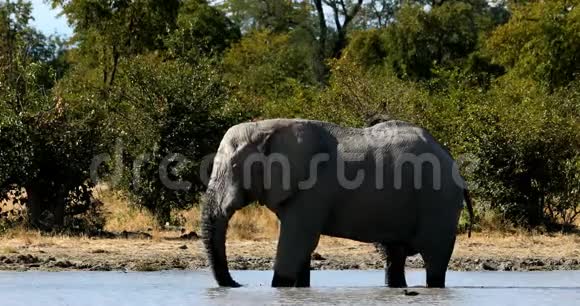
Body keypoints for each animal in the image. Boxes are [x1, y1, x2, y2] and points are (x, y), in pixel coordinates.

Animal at [202, 119, 474, 290]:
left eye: (233, 167)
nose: (240, 284)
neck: (265, 127)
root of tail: (450, 159)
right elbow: (300, 246)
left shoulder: (313, 189)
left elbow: (297, 241)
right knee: (395, 256)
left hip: (439, 201)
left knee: (435, 259)